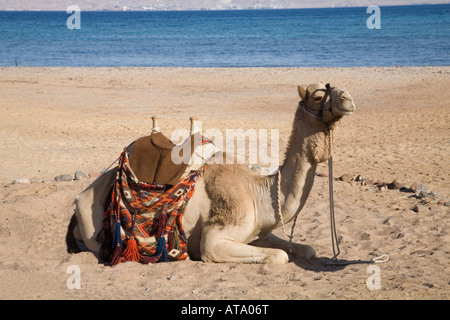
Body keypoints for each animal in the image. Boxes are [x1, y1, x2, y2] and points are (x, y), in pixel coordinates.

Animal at [67, 83, 356, 264]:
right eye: (317, 96)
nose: (348, 98)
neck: (255, 190)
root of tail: (81, 196)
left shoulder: (260, 233)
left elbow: (306, 249)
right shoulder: (214, 240)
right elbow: (279, 256)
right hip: (95, 224)